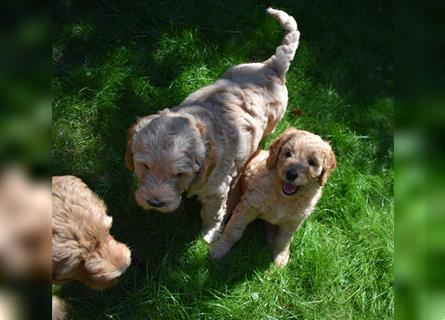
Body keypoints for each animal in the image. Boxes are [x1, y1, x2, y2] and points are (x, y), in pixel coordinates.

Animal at [124, 8, 302, 242]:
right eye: (145, 166)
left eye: (179, 174)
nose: (155, 203)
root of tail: (272, 66)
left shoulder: (217, 190)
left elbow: (212, 213)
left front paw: (210, 233)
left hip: (274, 120)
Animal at [210, 128, 334, 268]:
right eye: (288, 153)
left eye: (312, 162)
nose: (291, 174)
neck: (282, 197)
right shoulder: (247, 208)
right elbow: (233, 231)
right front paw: (220, 248)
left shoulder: (294, 221)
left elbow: (284, 241)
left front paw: (281, 256)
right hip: (235, 194)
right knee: (225, 210)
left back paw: (271, 238)